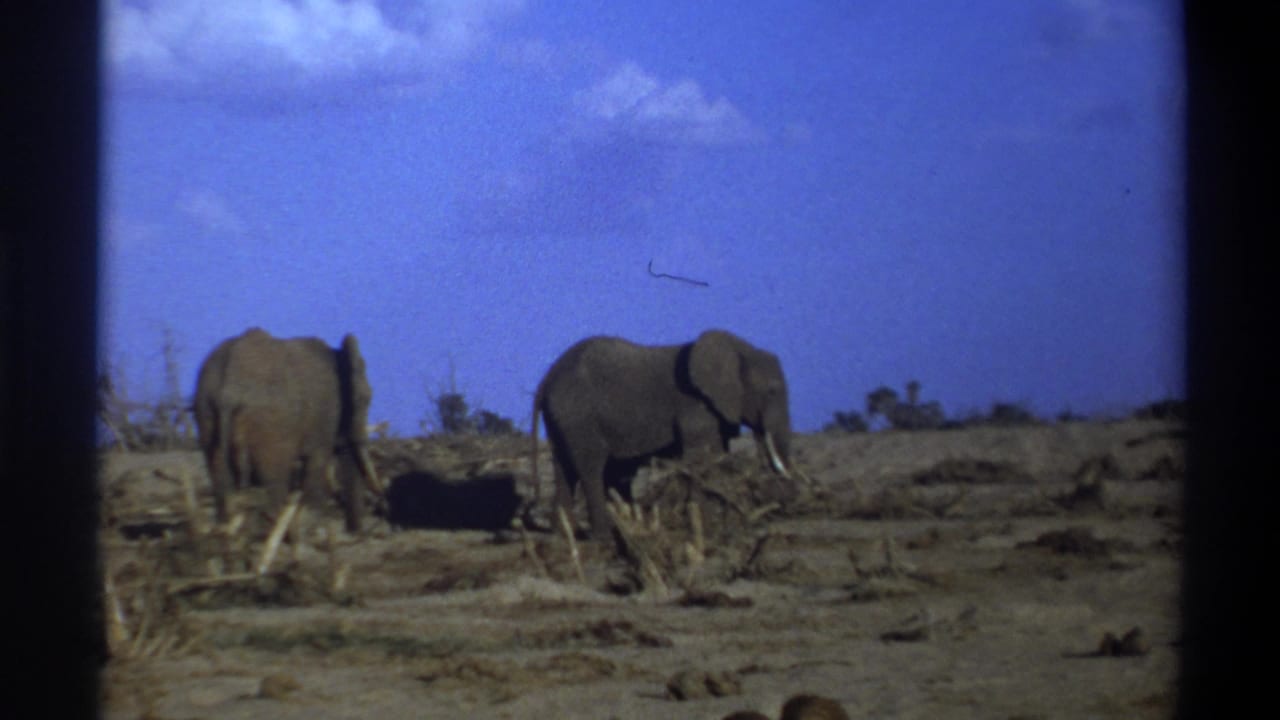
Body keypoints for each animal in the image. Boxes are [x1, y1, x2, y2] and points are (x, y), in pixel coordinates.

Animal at [193, 327, 382, 532]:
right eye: (366, 399)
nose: (355, 532)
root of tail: (229, 391)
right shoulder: (326, 415)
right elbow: (318, 462)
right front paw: (314, 528)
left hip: (206, 409)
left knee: (220, 478)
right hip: (272, 425)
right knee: (274, 480)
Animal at [531, 329, 794, 541]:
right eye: (772, 391)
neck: (738, 348)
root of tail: (546, 380)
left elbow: (718, 456)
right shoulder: (695, 407)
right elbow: (703, 457)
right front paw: (705, 529)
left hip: (562, 419)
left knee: (564, 467)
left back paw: (565, 535)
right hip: (578, 415)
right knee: (591, 467)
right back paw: (603, 540)